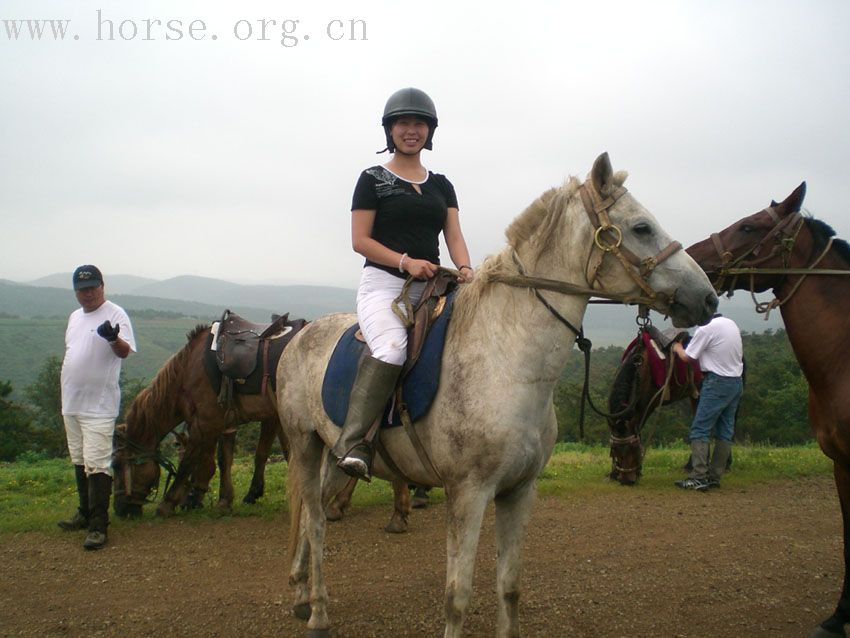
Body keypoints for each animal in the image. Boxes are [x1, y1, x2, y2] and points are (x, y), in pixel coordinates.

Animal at [608, 330, 700, 484]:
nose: (627, 480)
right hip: (694, 395)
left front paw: (638, 471)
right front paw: (613, 473)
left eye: (633, 447)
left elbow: (638, 429)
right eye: (614, 449)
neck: (639, 369)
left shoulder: (646, 406)